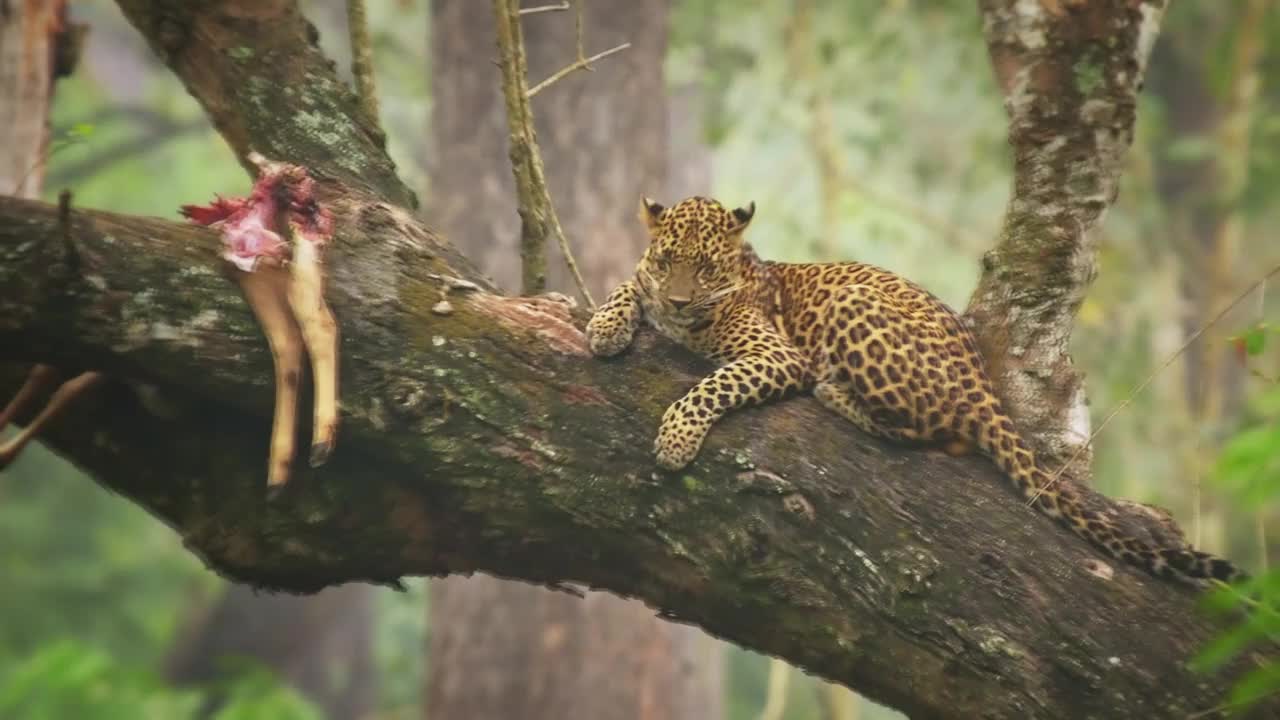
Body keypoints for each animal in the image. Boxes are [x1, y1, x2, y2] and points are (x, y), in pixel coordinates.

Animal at [591, 194, 1249, 584]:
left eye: (705, 269)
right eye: (669, 260)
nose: (679, 301)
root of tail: (982, 380)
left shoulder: (778, 354)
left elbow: (714, 383)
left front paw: (677, 439)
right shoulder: (650, 287)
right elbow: (627, 286)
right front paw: (604, 327)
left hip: (855, 309)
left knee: (935, 432)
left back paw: (836, 394)